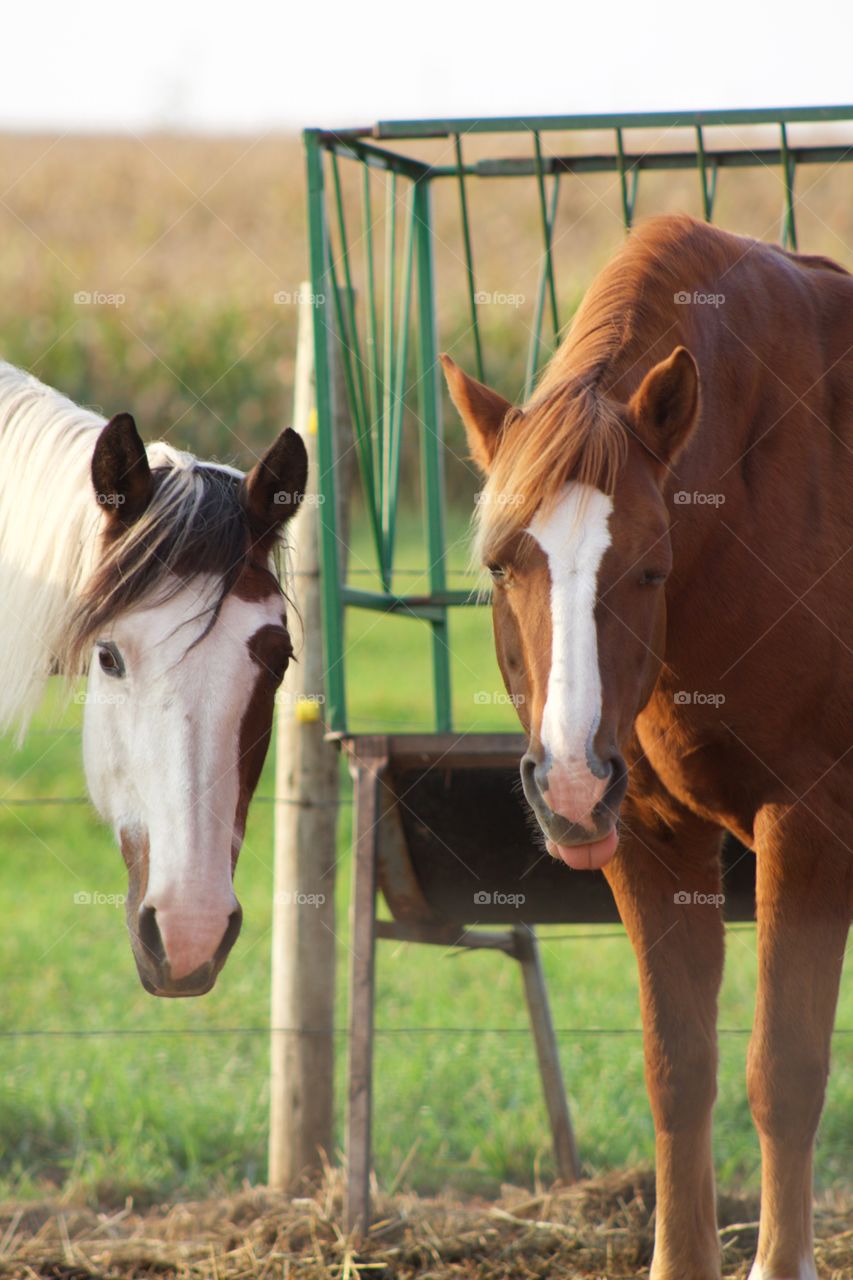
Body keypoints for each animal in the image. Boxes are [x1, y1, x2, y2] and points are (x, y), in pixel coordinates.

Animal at [440, 215, 850, 1280]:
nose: (570, 786)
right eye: (500, 564)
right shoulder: (651, 838)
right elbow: (679, 1070)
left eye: (651, 565)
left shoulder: (809, 828)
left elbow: (782, 1074)